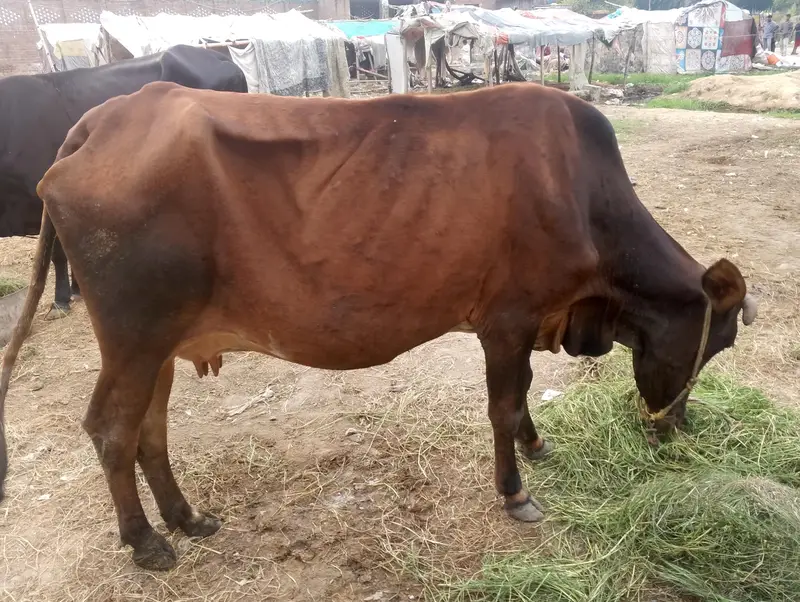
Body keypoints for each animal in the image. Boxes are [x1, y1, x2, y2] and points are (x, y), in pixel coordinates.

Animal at [0, 82, 758, 571]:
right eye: (714, 345)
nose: (675, 427)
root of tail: (103, 120)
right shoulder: (507, 320)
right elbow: (504, 404)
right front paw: (515, 493)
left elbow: (519, 404)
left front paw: (538, 447)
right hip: (133, 338)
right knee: (111, 430)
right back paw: (147, 542)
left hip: (158, 345)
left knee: (149, 432)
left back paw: (188, 519)